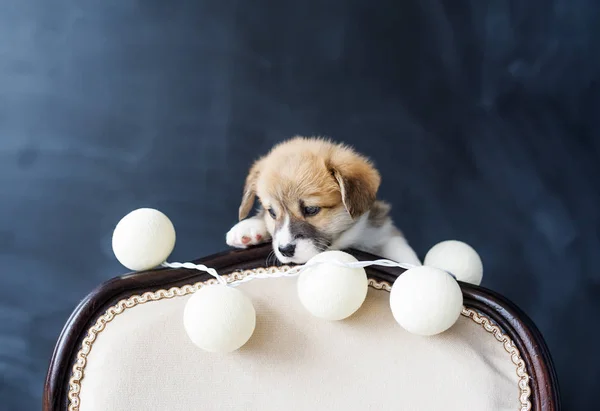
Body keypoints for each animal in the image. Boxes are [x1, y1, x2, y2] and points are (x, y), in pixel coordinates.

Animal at [225, 138, 422, 268]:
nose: (286, 250)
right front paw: (249, 229)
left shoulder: (383, 234)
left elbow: (401, 250)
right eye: (272, 212)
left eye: (311, 209)